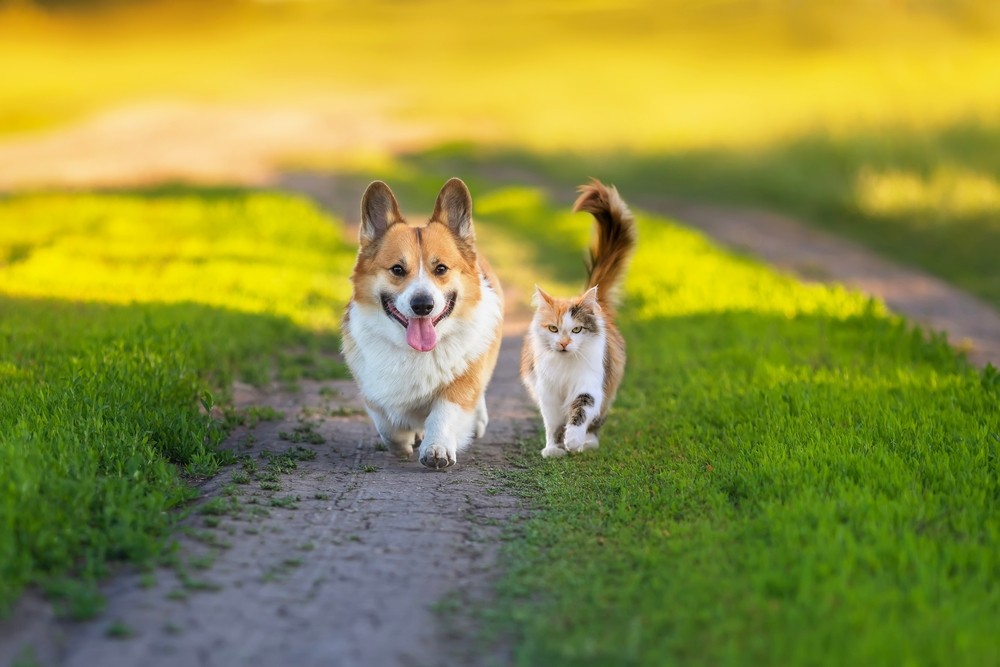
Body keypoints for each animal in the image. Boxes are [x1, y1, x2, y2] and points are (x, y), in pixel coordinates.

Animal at [340, 177, 504, 470]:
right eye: (397, 269)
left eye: (441, 269)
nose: (422, 305)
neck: (415, 351)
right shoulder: (373, 389)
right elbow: (387, 425)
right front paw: (403, 442)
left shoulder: (461, 384)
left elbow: (444, 413)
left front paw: (436, 448)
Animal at [520, 179, 636, 460]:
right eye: (553, 329)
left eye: (577, 330)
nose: (564, 343)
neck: (564, 368)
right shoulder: (547, 392)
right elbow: (552, 424)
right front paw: (553, 448)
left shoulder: (589, 383)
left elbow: (581, 409)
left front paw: (573, 441)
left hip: (608, 385)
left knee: (596, 421)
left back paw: (588, 443)